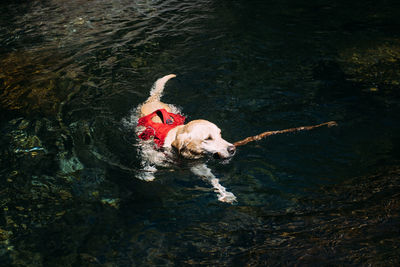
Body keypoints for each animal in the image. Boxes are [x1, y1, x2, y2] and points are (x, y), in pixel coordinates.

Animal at [134, 74, 236, 204]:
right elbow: (146, 163)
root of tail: (154, 101)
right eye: (208, 138)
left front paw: (225, 194)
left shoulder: (198, 166)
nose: (233, 149)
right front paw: (147, 174)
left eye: (220, 134)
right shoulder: (149, 152)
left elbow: (213, 178)